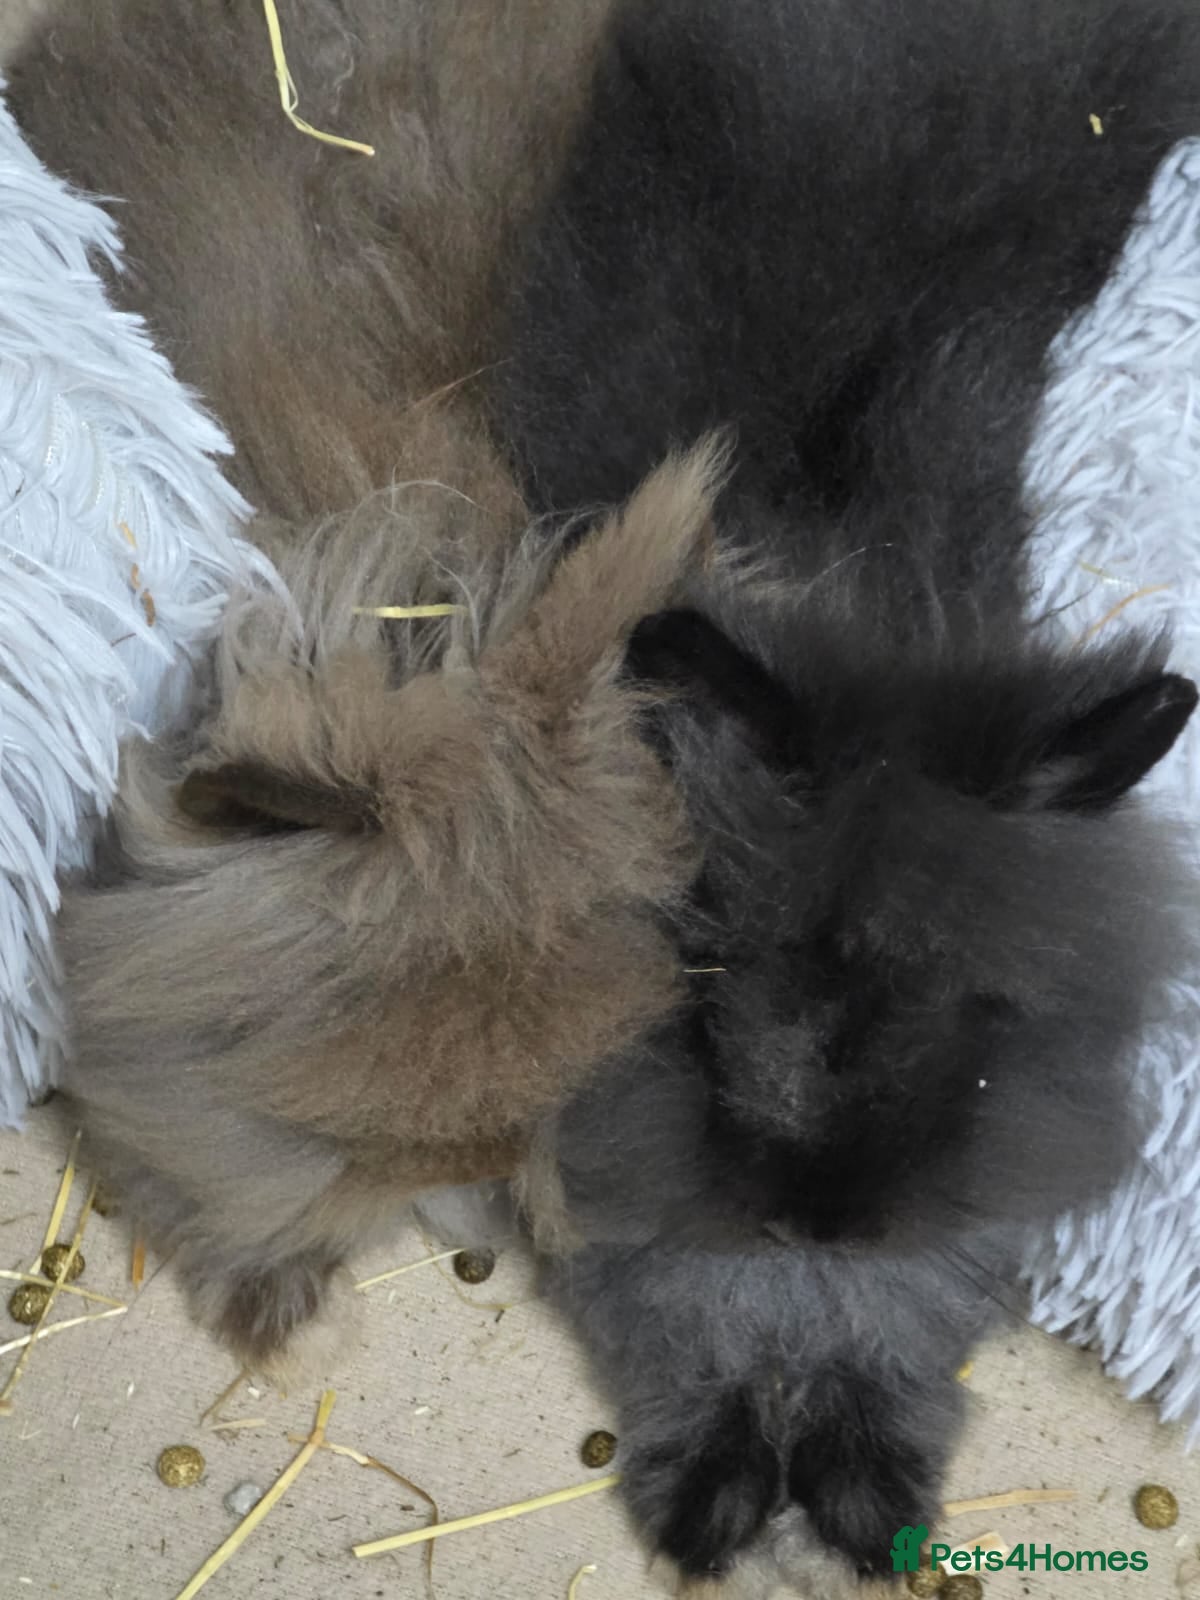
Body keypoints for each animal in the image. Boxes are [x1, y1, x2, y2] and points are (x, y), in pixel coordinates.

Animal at [492, 0, 1200, 1586]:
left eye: (980, 1008)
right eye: (740, 963)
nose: (826, 1217)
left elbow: (906, 1310)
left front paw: (870, 1490)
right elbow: (681, 1301)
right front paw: (710, 1499)